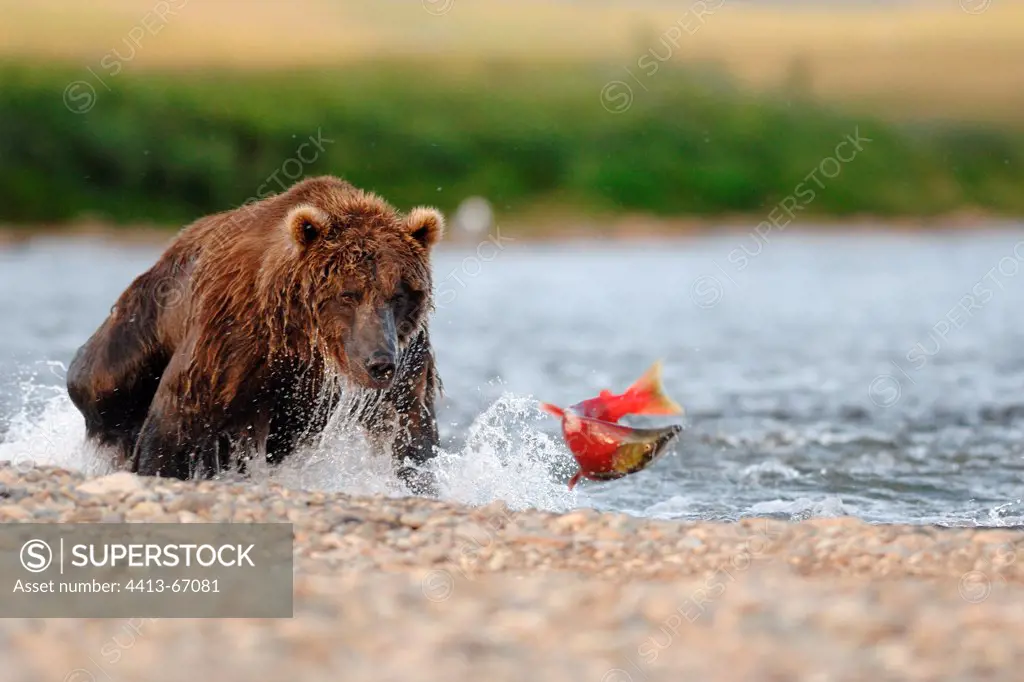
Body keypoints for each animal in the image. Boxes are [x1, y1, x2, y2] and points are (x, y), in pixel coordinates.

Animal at [65, 175, 444, 491]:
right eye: (348, 293)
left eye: (398, 295)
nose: (379, 362)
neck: (302, 337)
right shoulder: (231, 334)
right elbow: (178, 414)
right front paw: (155, 467)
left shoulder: (408, 354)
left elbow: (409, 428)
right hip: (141, 322)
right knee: (100, 385)